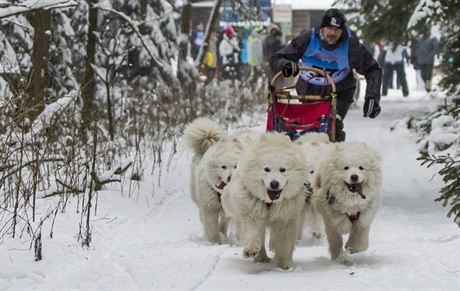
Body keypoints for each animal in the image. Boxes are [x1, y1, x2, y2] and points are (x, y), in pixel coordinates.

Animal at [221, 133, 308, 270]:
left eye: (283, 169)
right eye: (266, 169)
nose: (274, 184)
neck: (269, 203)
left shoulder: (285, 218)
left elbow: (284, 243)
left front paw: (284, 265)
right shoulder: (251, 213)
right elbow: (252, 233)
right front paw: (251, 250)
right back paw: (261, 257)